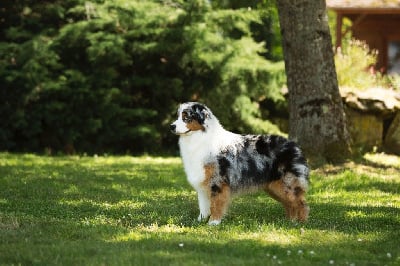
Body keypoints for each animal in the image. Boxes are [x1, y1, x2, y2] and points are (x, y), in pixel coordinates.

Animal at [169, 102, 310, 224]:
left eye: (186, 117)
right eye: (178, 116)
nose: (171, 126)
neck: (200, 137)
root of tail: (294, 145)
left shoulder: (217, 181)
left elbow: (216, 204)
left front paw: (213, 222)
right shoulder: (203, 182)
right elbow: (203, 206)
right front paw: (200, 221)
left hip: (286, 182)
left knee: (300, 202)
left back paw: (301, 223)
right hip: (274, 186)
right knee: (290, 203)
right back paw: (290, 221)